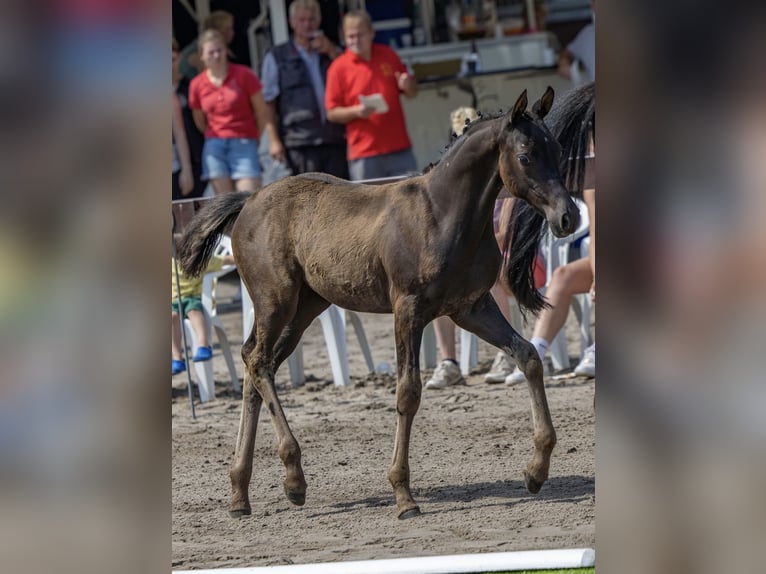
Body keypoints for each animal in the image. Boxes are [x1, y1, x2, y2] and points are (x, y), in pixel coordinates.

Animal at [178, 87, 580, 520]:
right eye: (525, 156)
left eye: (558, 149)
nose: (568, 217)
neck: (442, 214)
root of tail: (249, 200)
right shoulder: (409, 310)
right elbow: (408, 392)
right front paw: (403, 496)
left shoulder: (471, 308)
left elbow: (528, 356)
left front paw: (536, 471)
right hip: (276, 301)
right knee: (258, 363)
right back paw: (293, 478)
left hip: (305, 308)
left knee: (255, 362)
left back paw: (240, 492)